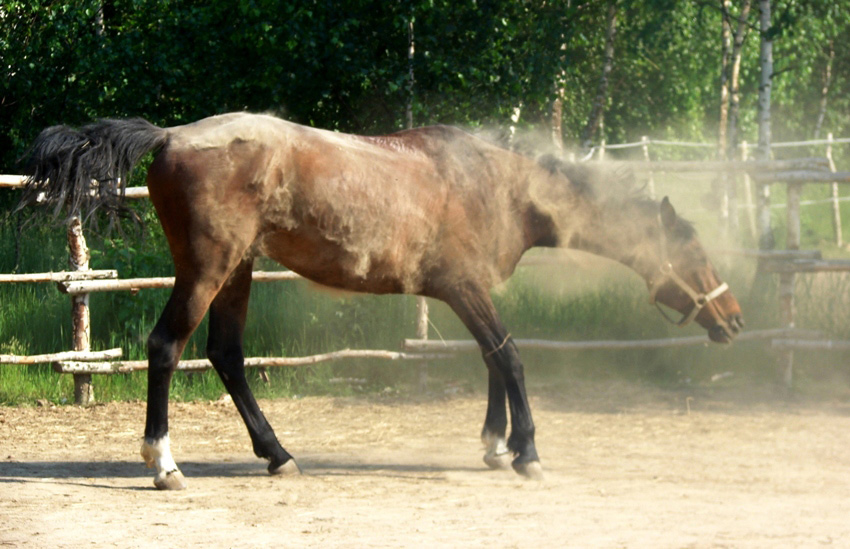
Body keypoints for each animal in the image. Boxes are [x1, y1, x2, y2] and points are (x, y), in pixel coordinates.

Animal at [21, 111, 744, 488]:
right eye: (694, 254)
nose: (734, 320)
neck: (498, 186)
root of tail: (169, 135)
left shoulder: (468, 292)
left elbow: (492, 360)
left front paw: (495, 445)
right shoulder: (464, 288)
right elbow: (510, 357)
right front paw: (528, 452)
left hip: (238, 271)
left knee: (226, 355)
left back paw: (278, 455)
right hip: (208, 270)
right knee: (167, 347)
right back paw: (165, 463)